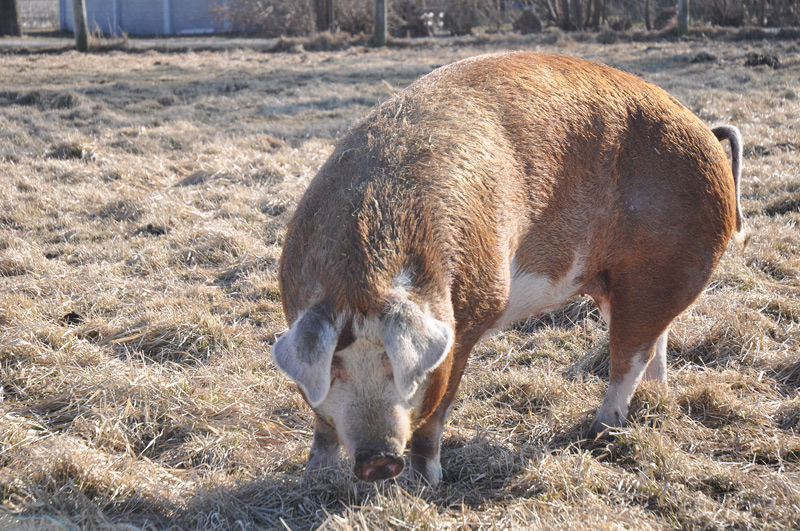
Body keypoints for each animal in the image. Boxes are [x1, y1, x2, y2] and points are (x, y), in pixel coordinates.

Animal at [271, 52, 744, 485]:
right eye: (335, 368)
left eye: (399, 369)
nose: (378, 460)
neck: (363, 279)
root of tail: (705, 129)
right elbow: (322, 425)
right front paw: (314, 475)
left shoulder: (470, 319)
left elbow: (434, 417)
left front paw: (428, 484)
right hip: (622, 281)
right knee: (655, 342)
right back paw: (653, 402)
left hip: (661, 267)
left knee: (632, 354)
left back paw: (599, 430)